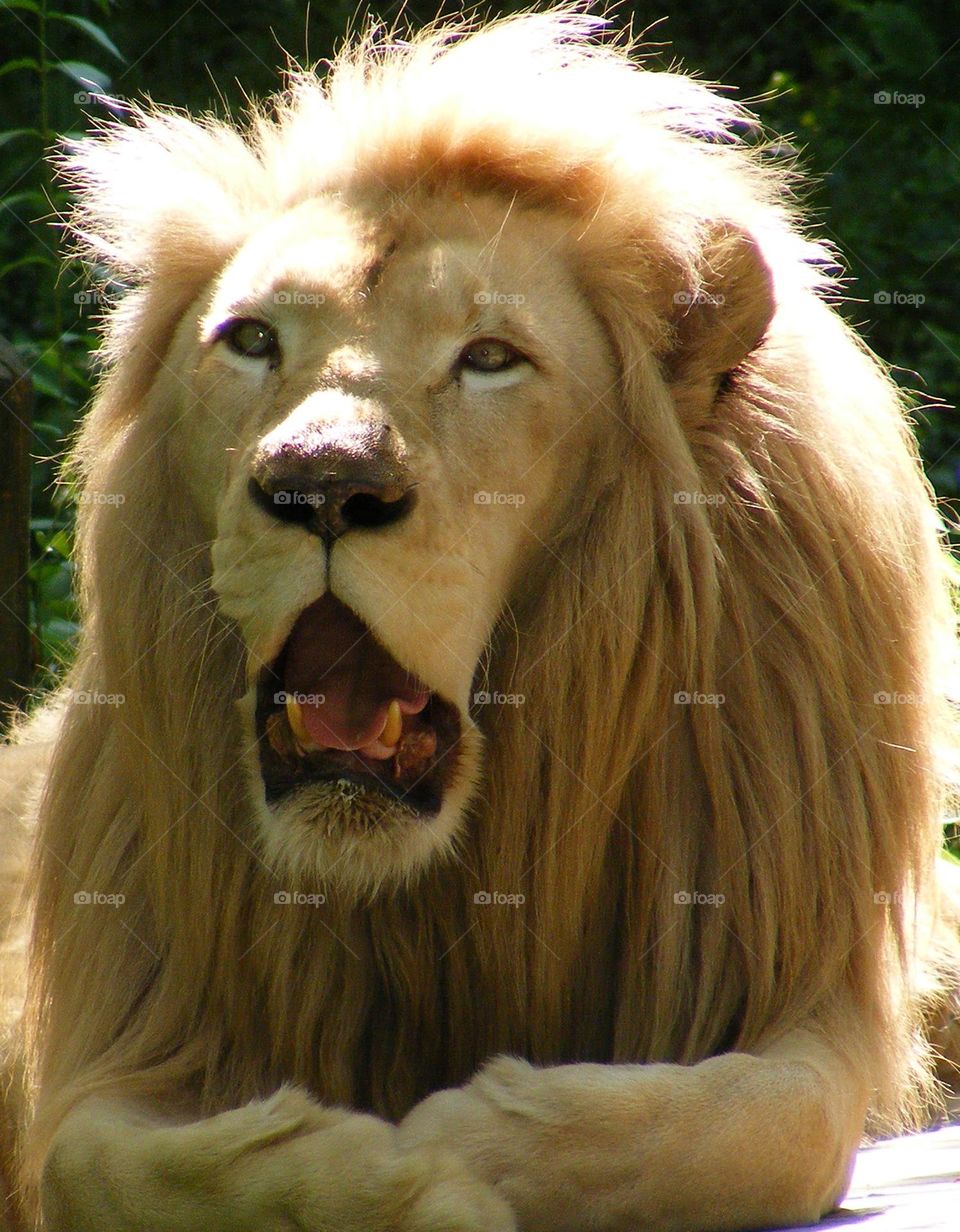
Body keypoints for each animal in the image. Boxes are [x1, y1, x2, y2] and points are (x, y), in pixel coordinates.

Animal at [1, 9, 957, 1231]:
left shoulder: (798, 967)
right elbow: (111, 1164)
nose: (320, 483)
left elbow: (747, 1125)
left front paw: (466, 1144)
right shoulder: (124, 1019)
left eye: (490, 359)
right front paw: (385, 1175)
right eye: (253, 341)